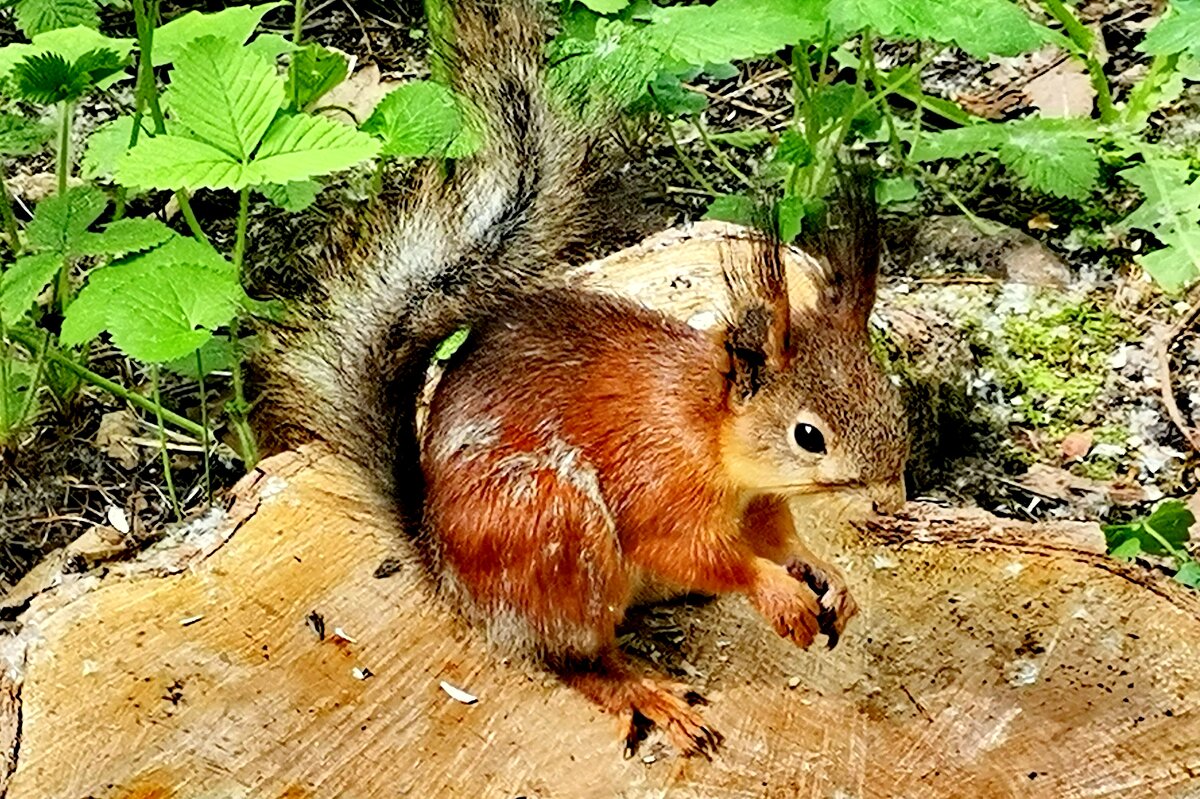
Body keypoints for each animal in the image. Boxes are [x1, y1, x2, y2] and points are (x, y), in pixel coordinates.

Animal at [255, 0, 907, 753]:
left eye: (888, 396)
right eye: (809, 435)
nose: (890, 499)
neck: (714, 437)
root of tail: (448, 573)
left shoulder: (763, 503)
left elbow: (781, 539)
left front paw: (824, 573)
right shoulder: (662, 487)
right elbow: (701, 554)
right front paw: (776, 592)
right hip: (554, 532)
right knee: (576, 660)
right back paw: (647, 693)